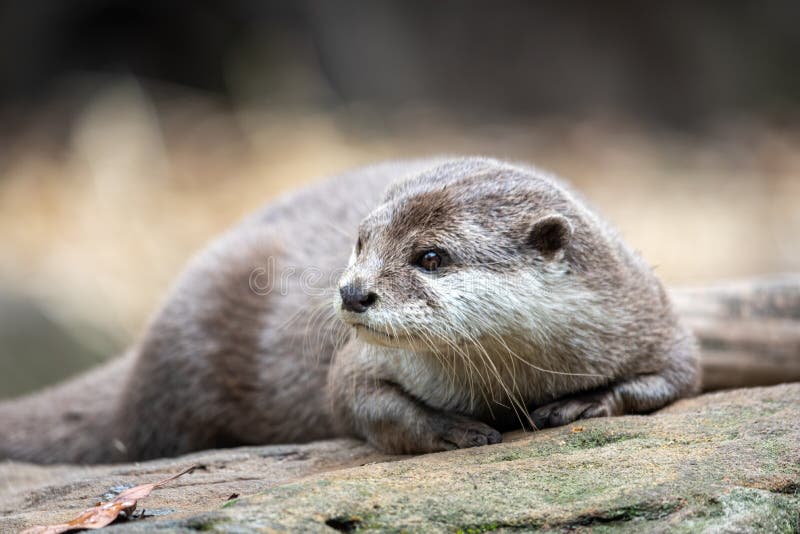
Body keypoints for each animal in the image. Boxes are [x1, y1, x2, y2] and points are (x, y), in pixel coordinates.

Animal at [0, 157, 699, 463]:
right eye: (362, 240)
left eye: (431, 256)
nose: (353, 293)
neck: (512, 378)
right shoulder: (360, 363)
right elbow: (353, 399)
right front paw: (454, 429)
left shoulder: (649, 316)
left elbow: (678, 377)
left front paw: (585, 402)